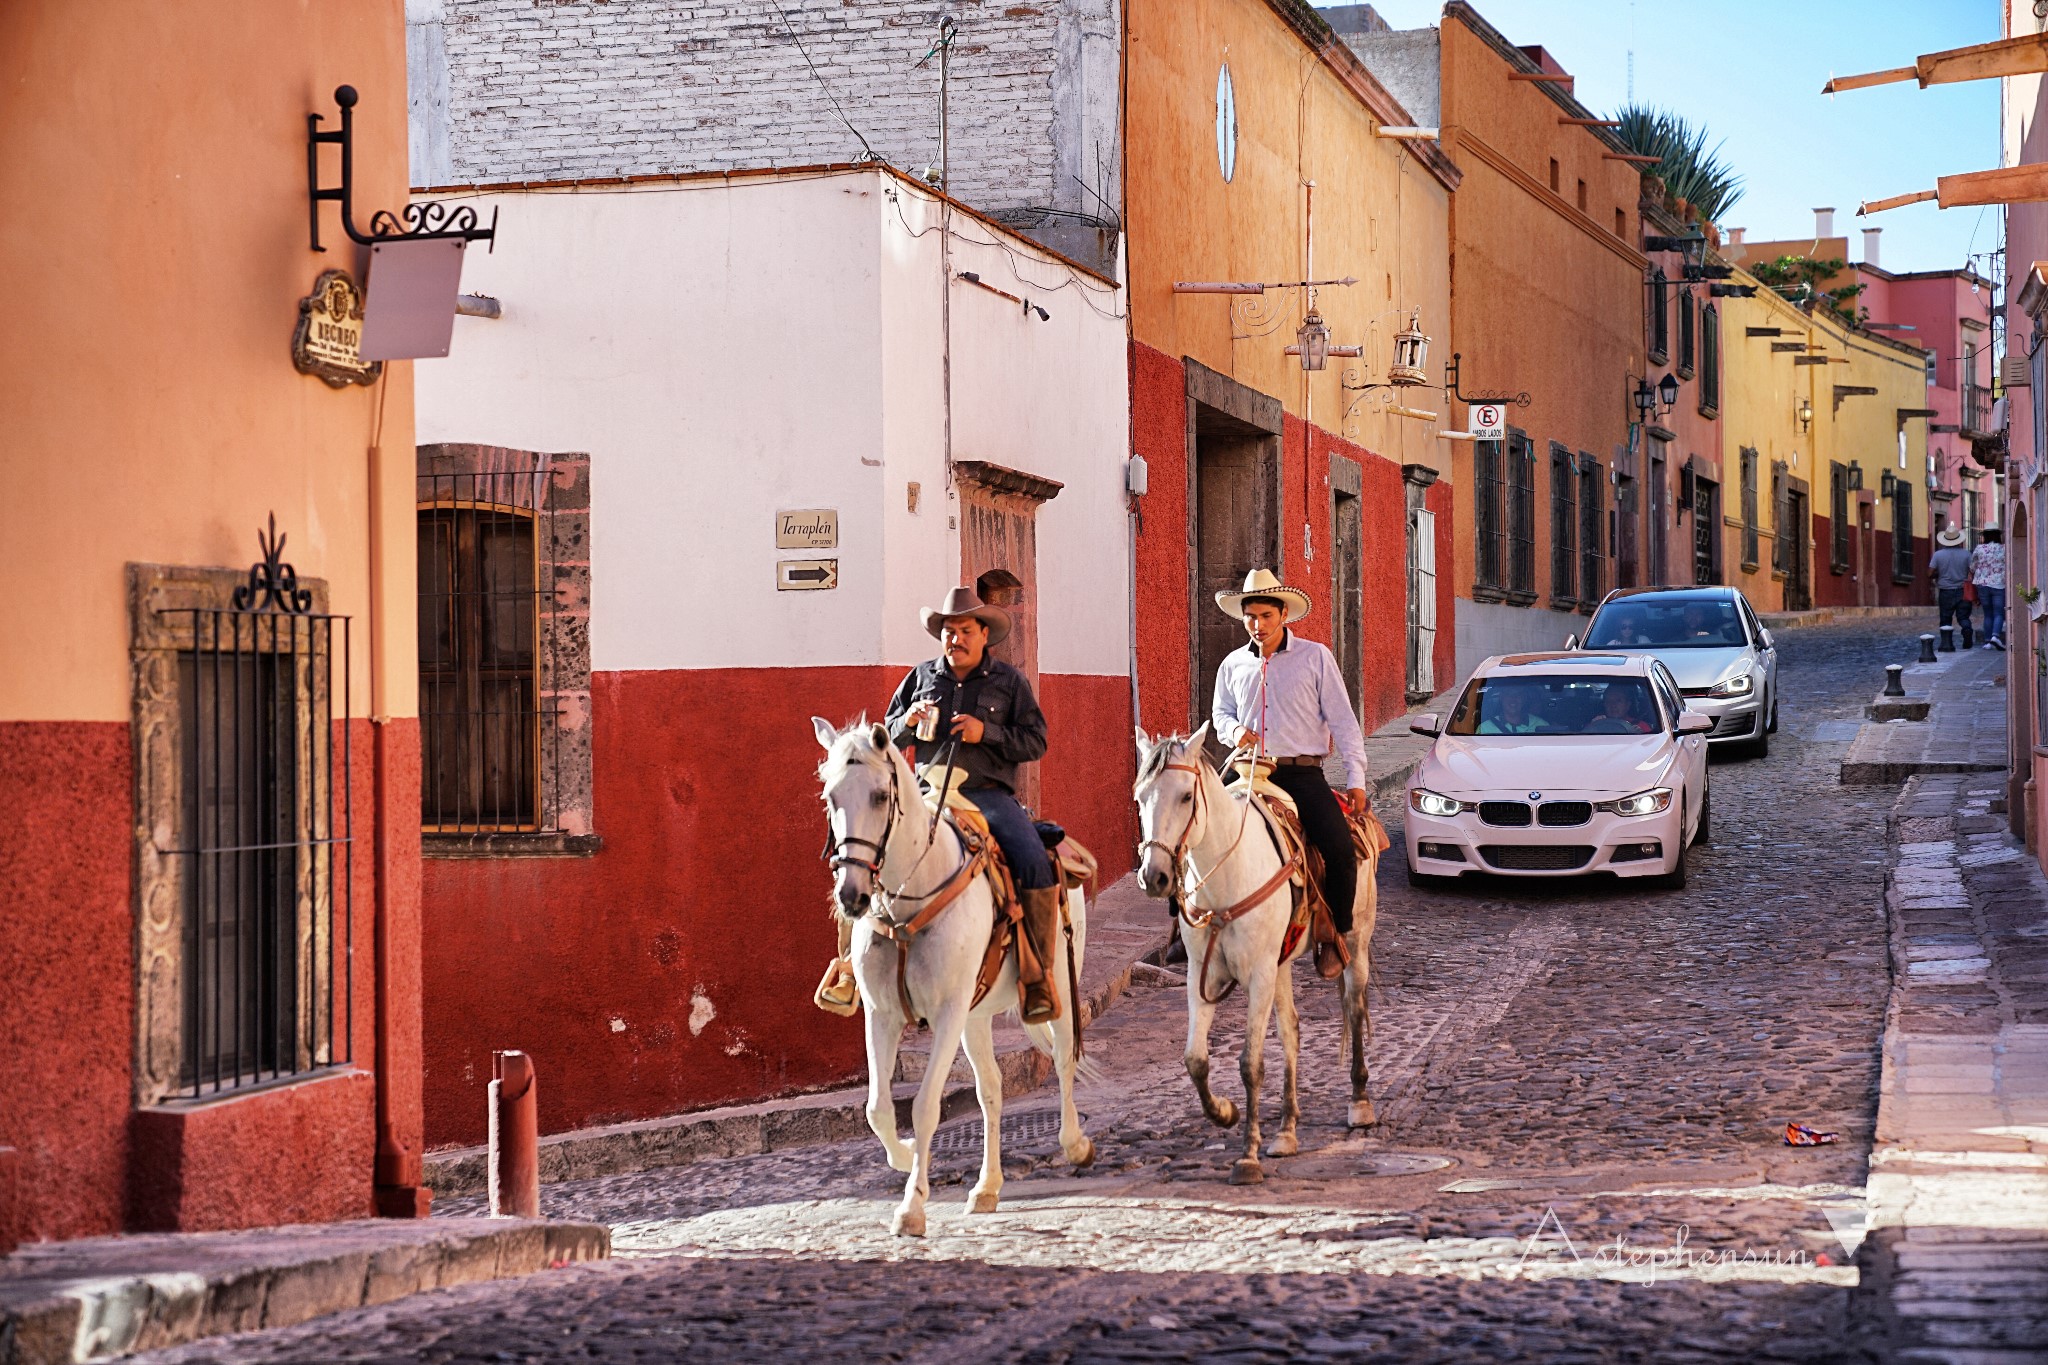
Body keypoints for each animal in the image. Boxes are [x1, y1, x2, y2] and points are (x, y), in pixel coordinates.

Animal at [819, 720, 1105, 1244]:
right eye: (831, 797)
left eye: (878, 796)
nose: (851, 896)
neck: (910, 898)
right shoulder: (883, 1015)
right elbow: (877, 1108)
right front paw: (907, 1156)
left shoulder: (948, 1012)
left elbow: (925, 1106)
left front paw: (912, 1207)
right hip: (976, 1017)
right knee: (991, 1089)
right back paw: (987, 1187)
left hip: (1056, 983)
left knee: (1062, 1059)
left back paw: (1075, 1144)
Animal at [1138, 724, 1376, 1186]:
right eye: (1140, 796)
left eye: (1186, 796)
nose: (1154, 876)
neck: (1226, 879)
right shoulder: (1203, 975)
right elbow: (1196, 1060)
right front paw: (1225, 1113)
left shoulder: (1259, 974)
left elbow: (1250, 1063)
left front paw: (1247, 1156)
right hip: (1280, 965)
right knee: (1292, 1030)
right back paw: (1286, 1130)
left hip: (1355, 944)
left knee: (1354, 1009)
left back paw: (1359, 1102)